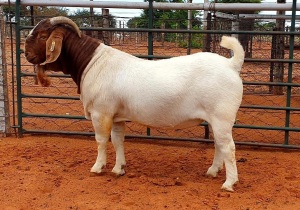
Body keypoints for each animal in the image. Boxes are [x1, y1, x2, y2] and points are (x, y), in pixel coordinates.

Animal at [24, 16, 245, 191]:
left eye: (43, 36)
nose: (26, 54)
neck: (92, 63)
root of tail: (230, 64)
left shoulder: (101, 113)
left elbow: (101, 140)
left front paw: (97, 167)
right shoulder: (116, 116)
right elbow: (118, 140)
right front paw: (118, 168)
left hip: (221, 116)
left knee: (228, 147)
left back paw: (229, 183)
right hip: (216, 120)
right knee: (219, 144)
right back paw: (212, 171)